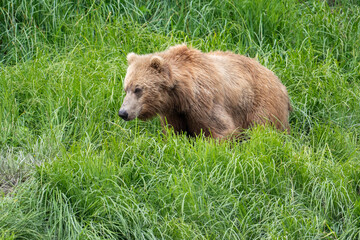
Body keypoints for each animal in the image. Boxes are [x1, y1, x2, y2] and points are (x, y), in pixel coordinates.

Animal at [119, 44, 292, 139]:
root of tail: (280, 83)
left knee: (263, 128)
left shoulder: (204, 102)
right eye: (126, 88)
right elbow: (174, 132)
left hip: (261, 103)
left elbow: (221, 130)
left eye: (138, 89)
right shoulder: (174, 112)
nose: (123, 112)